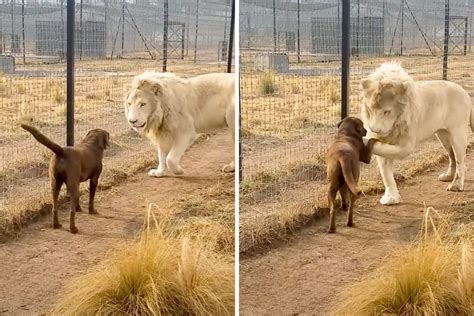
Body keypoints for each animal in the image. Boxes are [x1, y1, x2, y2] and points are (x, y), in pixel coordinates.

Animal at [362, 62, 472, 205]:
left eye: (387, 112)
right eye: (370, 109)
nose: (375, 130)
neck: (396, 123)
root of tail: (464, 92)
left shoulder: (406, 145)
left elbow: (388, 152)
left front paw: (362, 141)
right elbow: (385, 171)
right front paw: (391, 198)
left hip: (457, 133)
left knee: (460, 160)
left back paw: (456, 185)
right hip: (443, 135)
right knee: (451, 155)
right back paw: (448, 176)